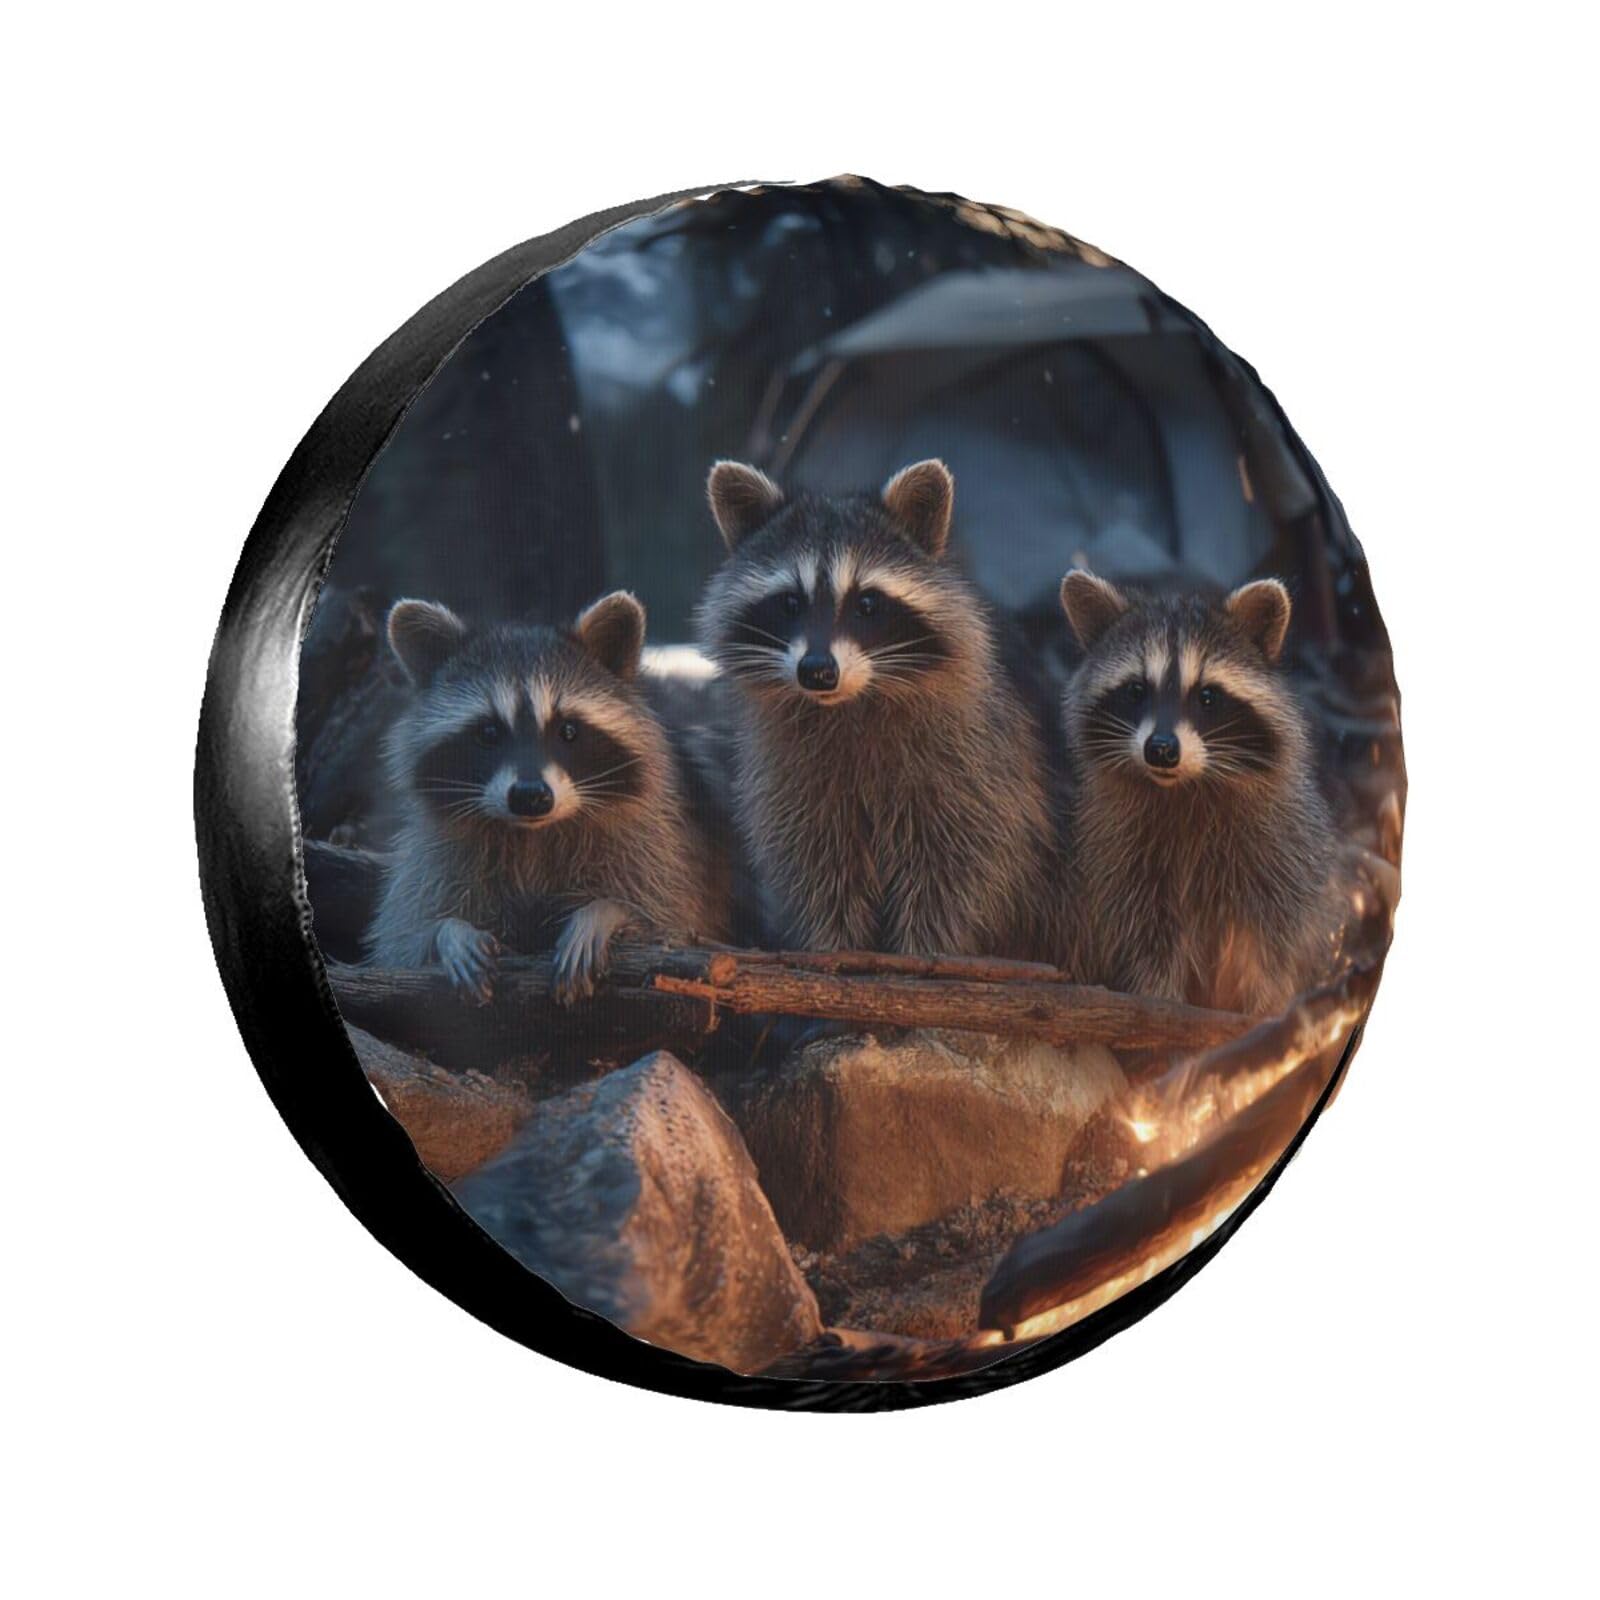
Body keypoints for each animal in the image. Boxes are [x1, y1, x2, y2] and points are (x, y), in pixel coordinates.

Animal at [366, 591, 723, 1003]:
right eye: (488, 733)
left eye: (568, 730)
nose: (530, 796)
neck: (533, 836)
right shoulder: (443, 855)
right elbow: (400, 943)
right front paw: (448, 933)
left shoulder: (661, 842)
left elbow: (675, 923)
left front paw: (605, 912)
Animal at [694, 458, 1062, 960]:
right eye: (790, 602)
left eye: (867, 603)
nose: (817, 671)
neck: (851, 701)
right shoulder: (796, 778)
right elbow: (820, 861)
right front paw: (833, 944)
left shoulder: (974, 767)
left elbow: (957, 864)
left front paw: (922, 950)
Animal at [1059, 569, 1338, 1015]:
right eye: (1136, 690)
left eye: (1208, 696)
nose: (1161, 749)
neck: (1186, 786)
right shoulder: (1123, 858)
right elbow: (1147, 942)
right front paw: (1158, 996)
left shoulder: (1281, 854)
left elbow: (1270, 946)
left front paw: (1265, 1008)